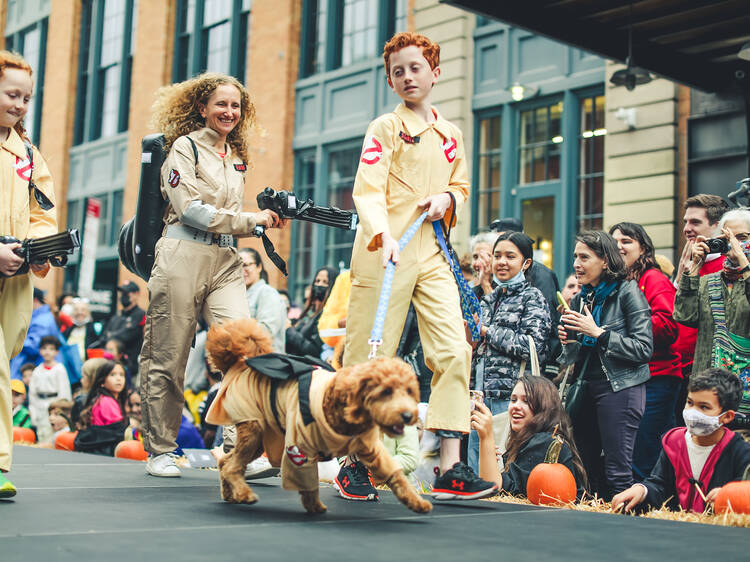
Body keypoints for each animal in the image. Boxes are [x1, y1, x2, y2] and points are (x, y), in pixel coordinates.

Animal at [206, 316, 432, 512]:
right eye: (386, 392)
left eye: (409, 391)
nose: (408, 416)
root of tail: (239, 366)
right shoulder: (298, 450)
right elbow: (307, 483)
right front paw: (314, 507)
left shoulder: (371, 449)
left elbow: (396, 475)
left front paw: (417, 502)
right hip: (253, 430)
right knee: (231, 466)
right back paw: (243, 494)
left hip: (260, 439)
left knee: (225, 462)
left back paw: (230, 494)